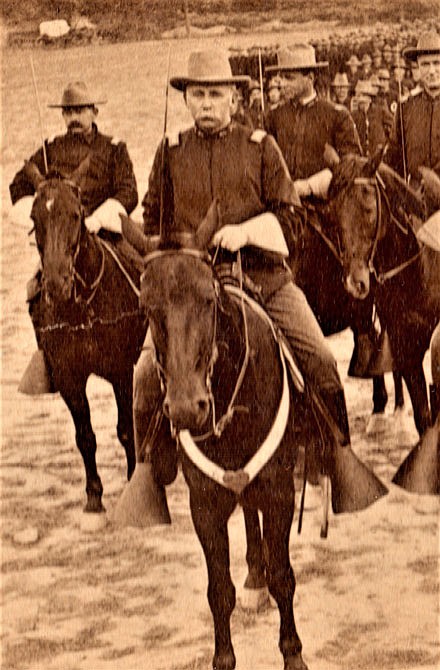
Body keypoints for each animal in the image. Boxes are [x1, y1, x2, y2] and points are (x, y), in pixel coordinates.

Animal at [22, 161, 146, 516]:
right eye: (34, 217)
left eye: (76, 214)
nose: (56, 284)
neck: (83, 307)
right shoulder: (69, 377)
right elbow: (85, 436)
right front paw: (94, 495)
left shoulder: (121, 371)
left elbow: (125, 430)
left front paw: (132, 481)